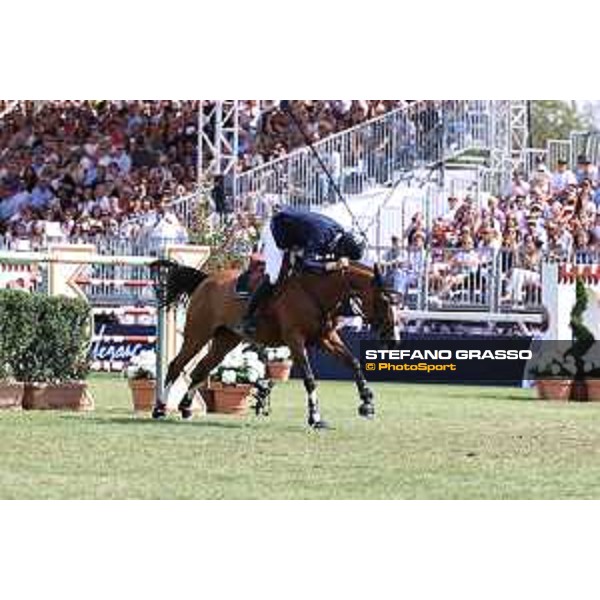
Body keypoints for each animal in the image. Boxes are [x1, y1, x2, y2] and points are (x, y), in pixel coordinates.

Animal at [152, 260, 398, 428]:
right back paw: (160, 408)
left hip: (225, 340)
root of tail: (206, 279)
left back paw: (185, 408)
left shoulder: (326, 338)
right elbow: (309, 378)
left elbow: (354, 362)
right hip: (197, 334)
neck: (316, 292)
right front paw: (315, 417)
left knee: (200, 370)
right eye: (385, 301)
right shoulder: (295, 339)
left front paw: (367, 403)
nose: (393, 340)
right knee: (176, 365)